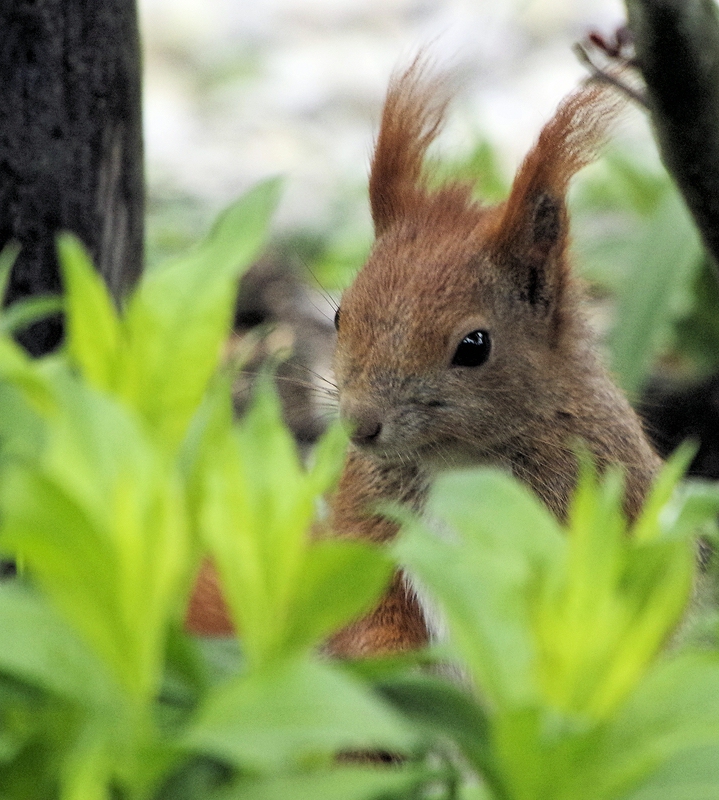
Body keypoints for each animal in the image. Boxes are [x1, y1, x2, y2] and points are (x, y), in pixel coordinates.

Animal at [330, 57, 660, 656]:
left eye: (474, 346)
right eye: (340, 315)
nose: (360, 426)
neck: (458, 464)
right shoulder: (367, 512)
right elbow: (364, 602)